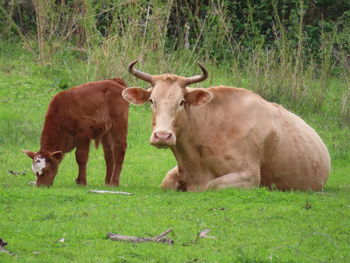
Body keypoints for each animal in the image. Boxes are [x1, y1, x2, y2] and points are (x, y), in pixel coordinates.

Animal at [121, 60, 330, 193]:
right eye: (152, 101)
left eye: (181, 102)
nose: (163, 136)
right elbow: (166, 182)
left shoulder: (249, 177)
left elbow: (210, 186)